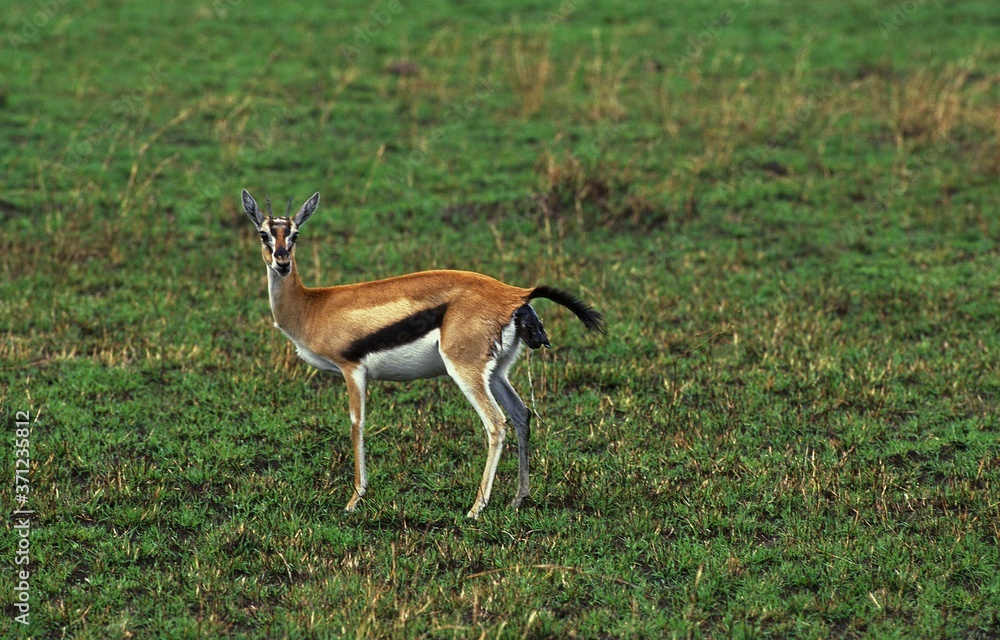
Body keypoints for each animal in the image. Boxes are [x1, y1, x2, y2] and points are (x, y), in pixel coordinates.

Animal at [241, 189, 605, 518]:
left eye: (295, 234)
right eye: (264, 233)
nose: (282, 262)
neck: (312, 306)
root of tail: (515, 294)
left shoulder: (352, 369)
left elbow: (357, 424)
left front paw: (354, 499)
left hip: (465, 371)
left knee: (496, 423)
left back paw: (476, 508)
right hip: (497, 372)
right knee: (521, 413)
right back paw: (518, 498)